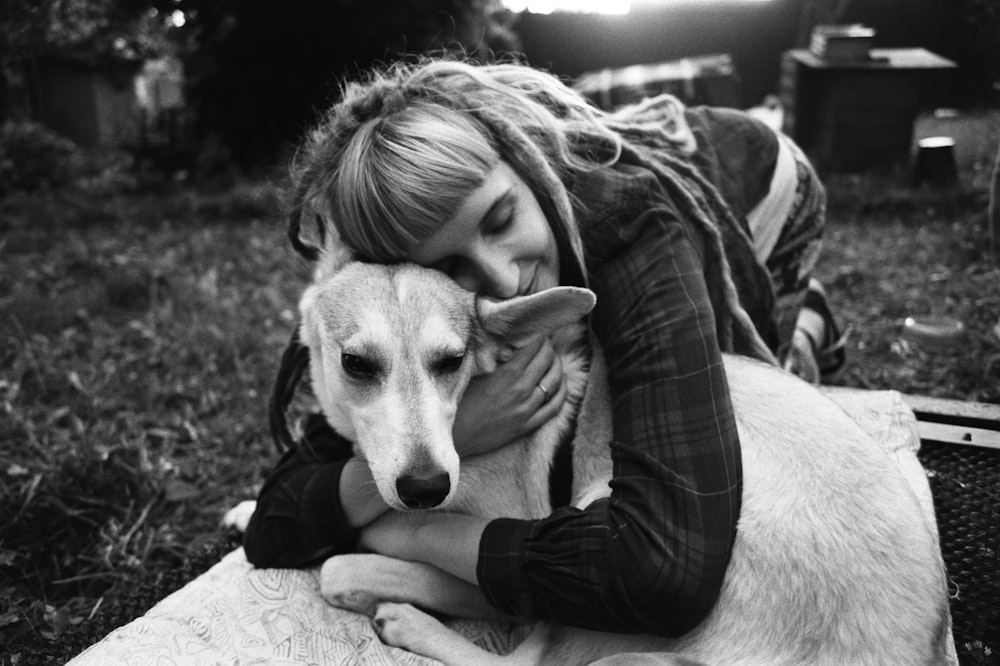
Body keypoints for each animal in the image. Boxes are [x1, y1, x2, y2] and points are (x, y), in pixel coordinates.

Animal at [229, 246, 952, 660]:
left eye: (450, 362)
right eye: (356, 364)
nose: (427, 486)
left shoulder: (496, 544)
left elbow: (353, 557)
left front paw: (379, 539)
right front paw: (245, 510)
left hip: (602, 506)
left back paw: (410, 623)